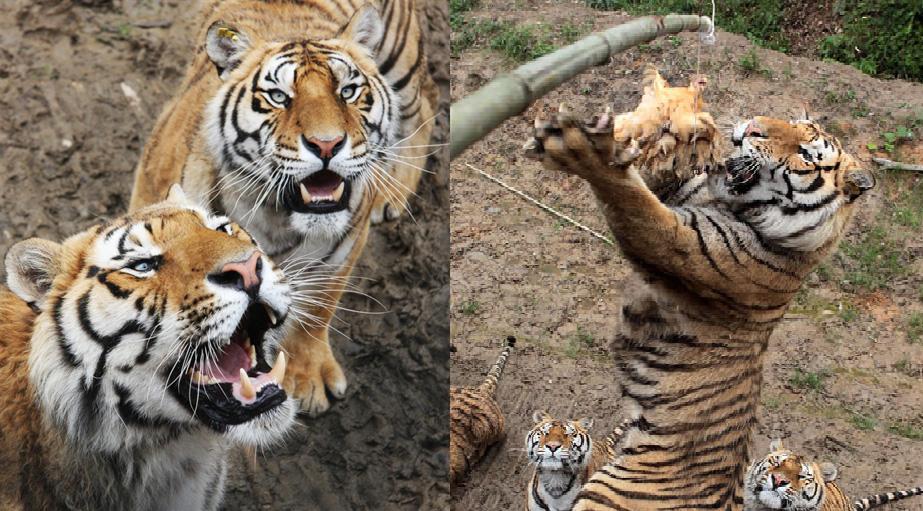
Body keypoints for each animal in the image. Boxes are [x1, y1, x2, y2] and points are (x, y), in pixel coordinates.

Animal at [127, 0, 440, 416]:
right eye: (278, 97)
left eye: (348, 91)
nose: (327, 145)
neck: (275, 215)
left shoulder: (341, 252)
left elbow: (317, 309)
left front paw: (308, 379)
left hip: (399, 53)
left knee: (426, 101)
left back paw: (392, 190)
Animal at [524, 98, 876, 510]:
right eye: (789, 121)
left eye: (806, 154)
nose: (752, 127)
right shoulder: (675, 194)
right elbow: (647, 174)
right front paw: (674, 129)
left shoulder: (678, 244)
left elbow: (628, 195)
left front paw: (582, 147)